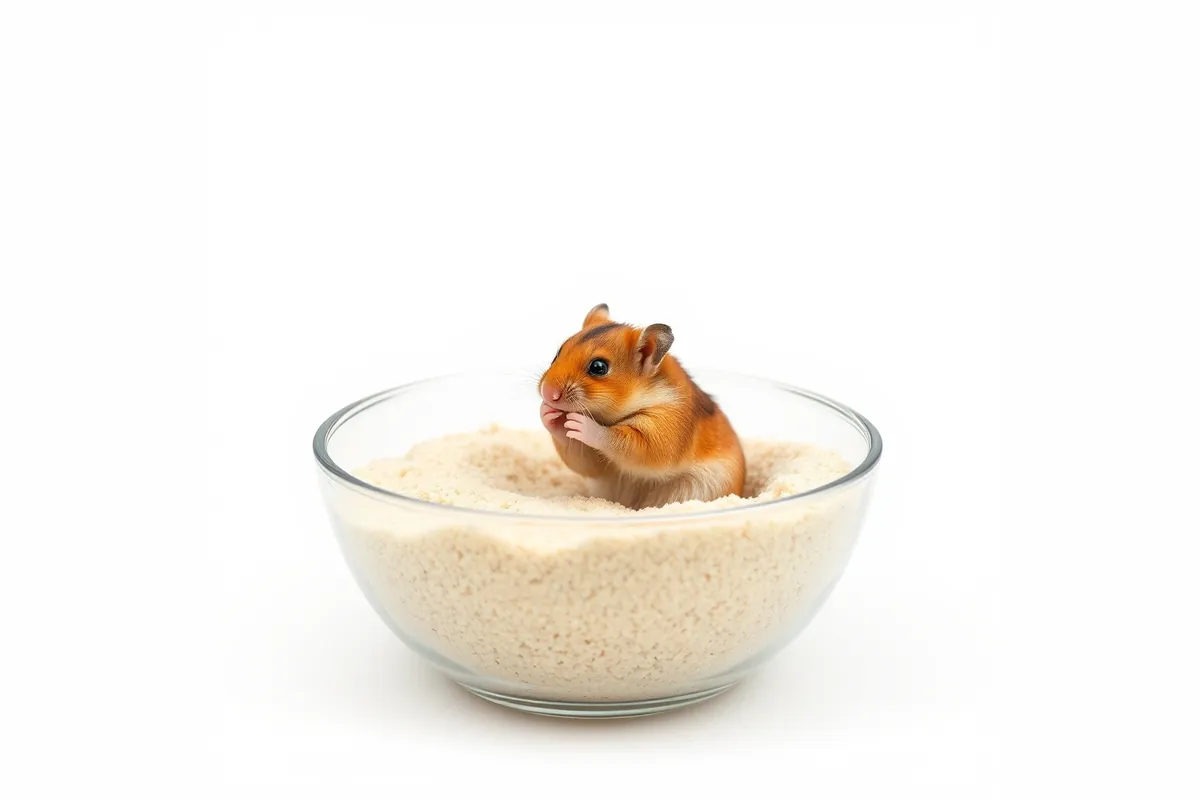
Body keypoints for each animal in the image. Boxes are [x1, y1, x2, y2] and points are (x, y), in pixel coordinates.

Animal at [537, 303, 746, 510]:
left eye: (598, 367)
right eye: (558, 352)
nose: (547, 393)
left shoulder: (662, 430)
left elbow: (615, 438)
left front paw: (579, 423)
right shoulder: (599, 465)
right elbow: (586, 461)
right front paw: (547, 412)